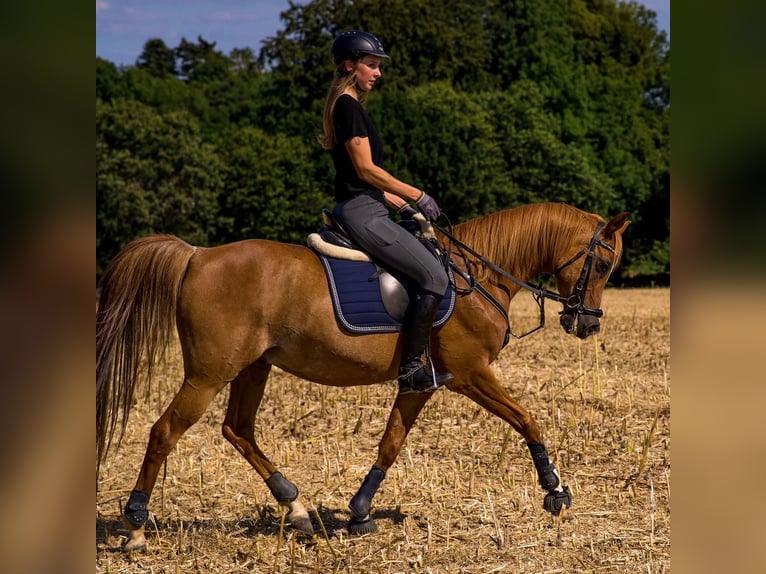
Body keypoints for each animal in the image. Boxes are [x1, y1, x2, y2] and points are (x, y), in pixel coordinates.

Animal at [96, 201, 632, 548]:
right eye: (604, 262)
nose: (586, 324)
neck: (477, 278)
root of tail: (197, 254)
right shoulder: (470, 374)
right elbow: (526, 420)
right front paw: (555, 490)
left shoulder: (422, 383)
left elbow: (390, 443)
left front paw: (359, 513)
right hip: (208, 374)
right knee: (165, 431)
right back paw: (136, 524)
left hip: (252, 368)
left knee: (238, 430)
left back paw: (295, 508)